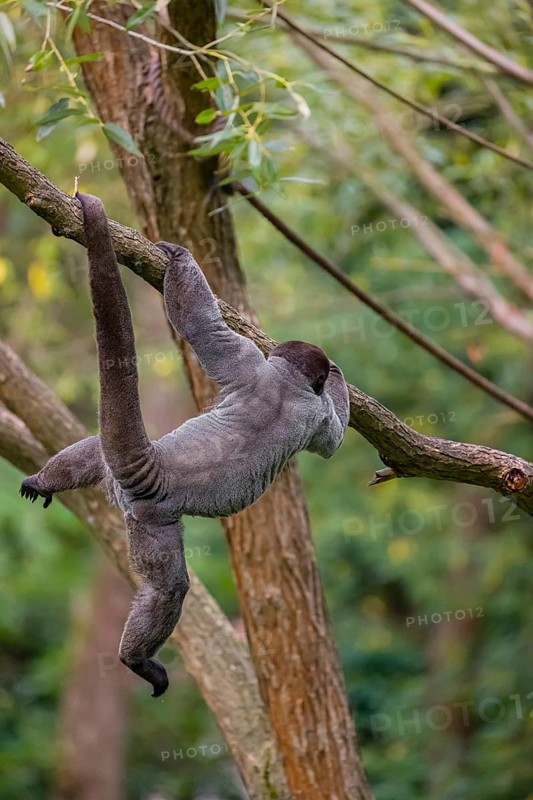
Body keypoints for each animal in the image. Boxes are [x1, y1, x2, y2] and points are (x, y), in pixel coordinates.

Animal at [19, 193, 349, 697]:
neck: (287, 381)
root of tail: (149, 466)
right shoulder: (296, 397)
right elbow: (332, 438)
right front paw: (335, 373)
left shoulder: (261, 372)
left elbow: (199, 328)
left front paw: (174, 255)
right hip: (150, 516)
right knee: (169, 587)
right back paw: (137, 660)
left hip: (127, 493)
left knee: (96, 455)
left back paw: (44, 481)